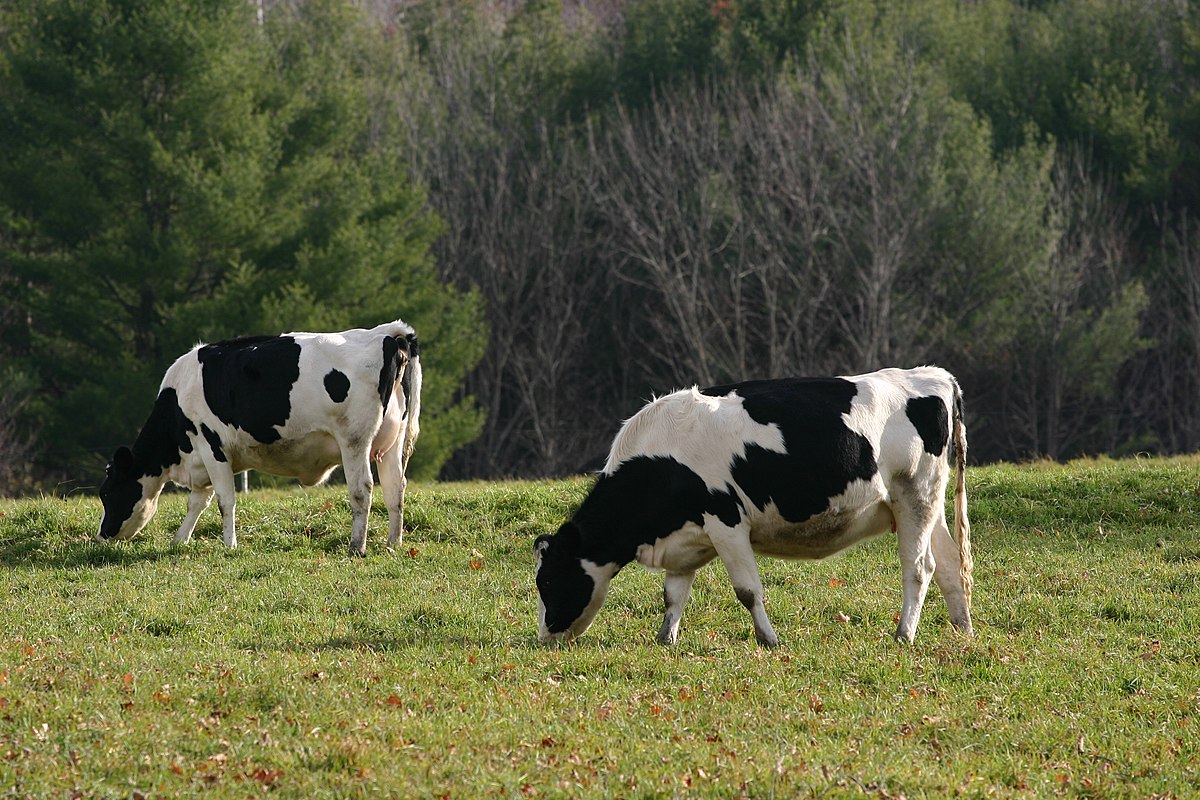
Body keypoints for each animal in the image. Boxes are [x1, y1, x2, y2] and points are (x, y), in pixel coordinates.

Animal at [96, 319, 422, 556]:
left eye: (107, 493)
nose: (102, 535)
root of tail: (387, 333)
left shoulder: (211, 444)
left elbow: (224, 500)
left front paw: (229, 545)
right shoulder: (203, 458)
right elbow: (197, 502)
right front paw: (180, 540)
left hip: (354, 440)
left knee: (362, 489)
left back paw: (357, 547)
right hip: (392, 443)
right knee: (395, 489)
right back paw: (393, 544)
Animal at [535, 367, 974, 647]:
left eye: (548, 582)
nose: (545, 637)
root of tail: (933, 374)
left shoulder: (726, 522)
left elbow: (747, 590)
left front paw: (769, 639)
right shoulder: (685, 536)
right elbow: (674, 594)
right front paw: (665, 639)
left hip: (914, 495)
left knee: (918, 568)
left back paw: (904, 634)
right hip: (927, 503)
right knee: (949, 564)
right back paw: (962, 628)